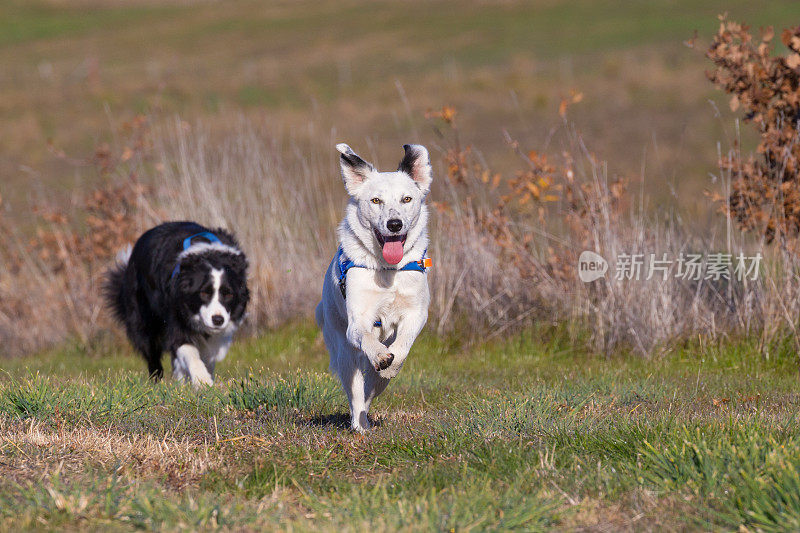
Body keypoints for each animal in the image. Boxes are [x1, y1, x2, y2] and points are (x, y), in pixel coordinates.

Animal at [106, 221, 248, 386]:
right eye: (204, 293)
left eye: (229, 294)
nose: (218, 320)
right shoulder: (176, 312)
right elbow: (187, 348)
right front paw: (203, 381)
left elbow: (207, 355)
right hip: (142, 317)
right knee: (151, 351)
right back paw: (157, 383)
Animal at [316, 142, 434, 432]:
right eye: (376, 201)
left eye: (407, 199)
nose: (394, 224)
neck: (387, 270)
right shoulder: (357, 321)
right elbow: (367, 336)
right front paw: (380, 355)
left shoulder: (416, 313)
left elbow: (402, 346)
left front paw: (391, 363)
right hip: (344, 354)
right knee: (357, 392)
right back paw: (359, 425)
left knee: (373, 386)